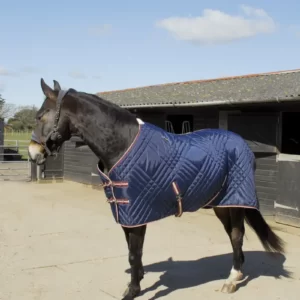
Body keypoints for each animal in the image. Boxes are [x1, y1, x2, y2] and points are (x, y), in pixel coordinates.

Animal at [28, 78, 286, 298]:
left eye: (40, 116)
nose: (33, 152)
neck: (122, 145)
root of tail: (242, 143)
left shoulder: (137, 215)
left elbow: (134, 254)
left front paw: (132, 291)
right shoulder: (127, 214)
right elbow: (132, 252)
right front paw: (137, 282)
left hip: (236, 202)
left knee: (236, 235)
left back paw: (232, 280)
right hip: (221, 204)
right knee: (233, 236)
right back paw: (237, 274)